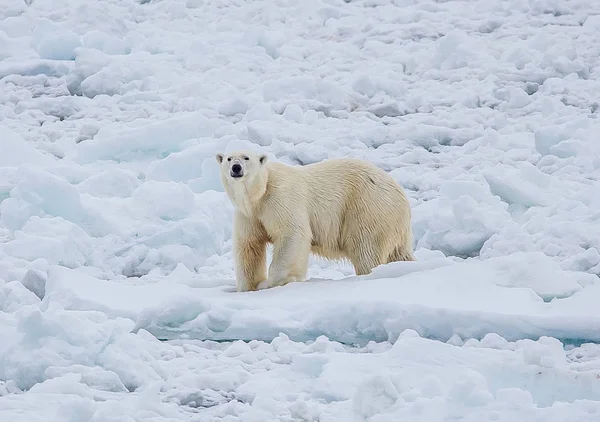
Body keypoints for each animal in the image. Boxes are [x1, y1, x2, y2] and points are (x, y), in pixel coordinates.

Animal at [217, 150, 418, 292]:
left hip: (368, 207)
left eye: (246, 157)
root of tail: (401, 195)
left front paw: (274, 282)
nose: (236, 168)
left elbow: (292, 234)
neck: (259, 194)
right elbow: (249, 244)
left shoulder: (280, 198)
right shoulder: (248, 214)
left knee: (366, 249)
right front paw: (247, 287)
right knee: (397, 253)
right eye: (229, 158)